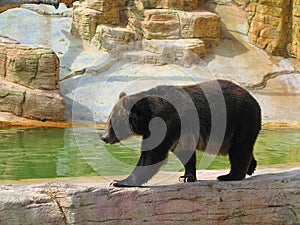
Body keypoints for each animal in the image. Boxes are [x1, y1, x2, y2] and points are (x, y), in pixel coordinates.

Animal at [101, 79, 260, 186]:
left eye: (111, 123)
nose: (104, 137)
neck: (146, 117)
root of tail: (254, 99)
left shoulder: (165, 121)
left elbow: (152, 155)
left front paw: (120, 181)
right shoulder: (181, 132)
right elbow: (184, 153)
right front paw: (187, 176)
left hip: (239, 119)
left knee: (240, 149)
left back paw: (230, 175)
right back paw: (251, 167)